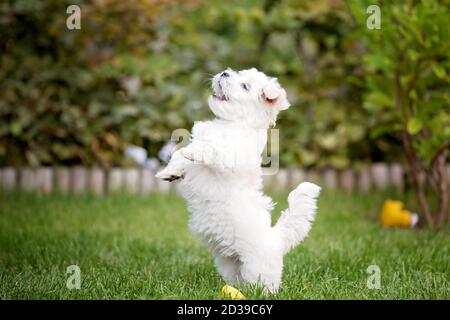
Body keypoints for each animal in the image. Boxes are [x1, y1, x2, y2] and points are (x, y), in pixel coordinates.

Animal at [156, 67, 322, 292]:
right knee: (238, 278)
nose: (225, 73)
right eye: (235, 73)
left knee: (262, 285)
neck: (233, 124)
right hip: (229, 264)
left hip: (258, 268)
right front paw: (169, 173)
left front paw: (193, 152)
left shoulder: (228, 155)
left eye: (245, 86)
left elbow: (206, 148)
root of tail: (275, 240)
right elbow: (179, 156)